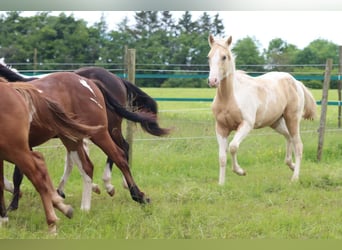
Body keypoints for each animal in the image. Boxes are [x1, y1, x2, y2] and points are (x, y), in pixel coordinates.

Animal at [207, 34, 316, 184]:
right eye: (209, 57)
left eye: (224, 57)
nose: (212, 81)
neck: (229, 97)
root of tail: (296, 82)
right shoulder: (221, 128)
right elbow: (222, 157)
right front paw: (221, 184)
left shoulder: (246, 124)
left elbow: (233, 147)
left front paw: (240, 171)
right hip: (275, 122)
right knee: (288, 137)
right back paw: (291, 165)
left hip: (292, 119)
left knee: (298, 145)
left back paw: (295, 177)